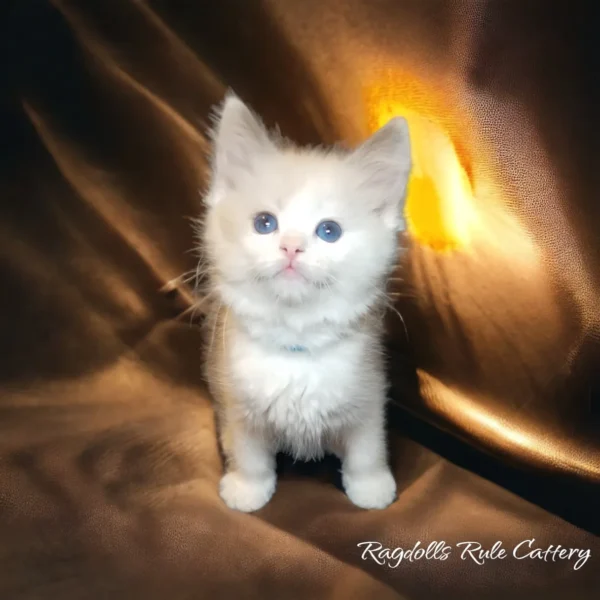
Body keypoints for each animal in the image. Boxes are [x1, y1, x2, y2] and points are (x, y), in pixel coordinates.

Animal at [199, 92, 410, 510]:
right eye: (265, 223)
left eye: (329, 231)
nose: (291, 246)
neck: (296, 344)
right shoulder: (237, 398)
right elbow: (248, 451)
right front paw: (247, 489)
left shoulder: (368, 391)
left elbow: (367, 447)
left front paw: (371, 488)